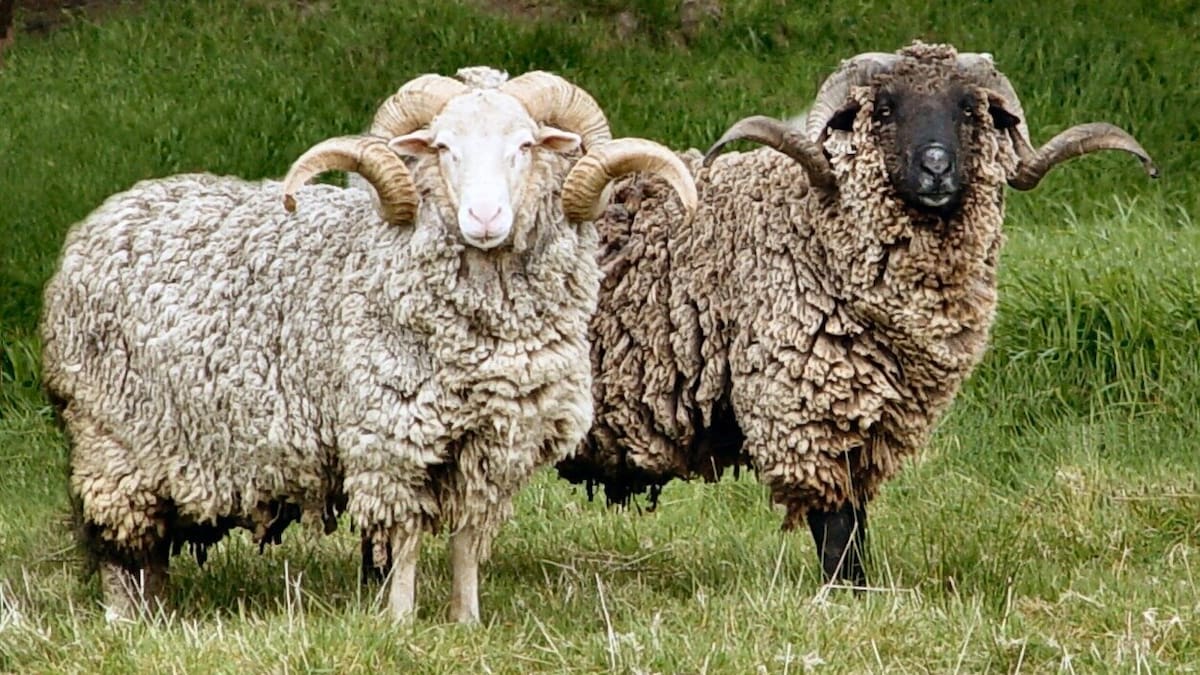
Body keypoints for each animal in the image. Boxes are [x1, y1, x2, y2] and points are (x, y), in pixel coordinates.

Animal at [40, 69, 697, 623]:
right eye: (443, 148)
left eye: (526, 146)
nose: (485, 217)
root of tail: (98, 222)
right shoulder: (391, 438)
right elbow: (402, 538)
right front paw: (399, 622)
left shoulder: (493, 447)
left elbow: (466, 540)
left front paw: (465, 620)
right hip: (113, 441)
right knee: (121, 546)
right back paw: (129, 621)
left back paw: (160, 613)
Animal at [556, 41, 1157, 586]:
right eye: (884, 109)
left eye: (970, 109)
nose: (936, 168)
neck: (805, 224)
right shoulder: (804, 406)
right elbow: (837, 526)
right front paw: (842, 596)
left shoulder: (871, 424)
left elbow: (857, 522)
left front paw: (861, 593)